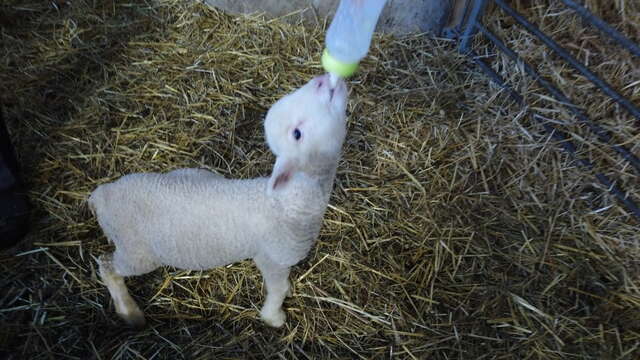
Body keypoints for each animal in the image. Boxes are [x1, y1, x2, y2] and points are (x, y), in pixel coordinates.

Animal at [87, 74, 348, 330]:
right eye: (297, 134)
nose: (323, 79)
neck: (289, 200)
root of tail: (101, 195)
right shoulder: (272, 258)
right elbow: (278, 288)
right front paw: (273, 317)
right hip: (137, 253)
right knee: (107, 266)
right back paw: (129, 312)